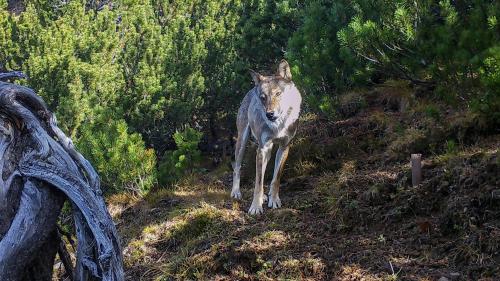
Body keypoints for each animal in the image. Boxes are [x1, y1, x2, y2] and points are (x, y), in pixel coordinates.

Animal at [230, 59, 300, 214]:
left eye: (278, 93)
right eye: (263, 98)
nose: (270, 114)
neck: (278, 125)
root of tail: (251, 90)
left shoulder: (284, 147)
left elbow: (276, 178)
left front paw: (274, 200)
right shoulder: (262, 148)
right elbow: (258, 182)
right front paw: (256, 207)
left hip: (267, 151)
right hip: (243, 143)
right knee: (237, 167)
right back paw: (236, 192)